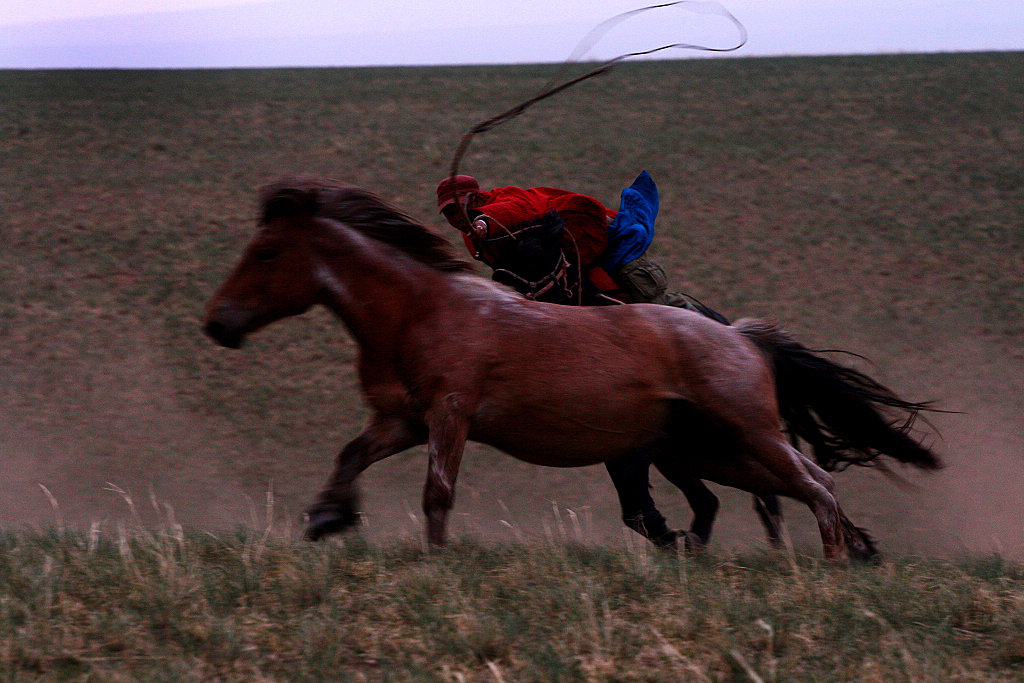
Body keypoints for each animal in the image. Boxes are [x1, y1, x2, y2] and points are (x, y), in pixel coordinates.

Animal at [203, 179, 937, 565]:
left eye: (266, 252)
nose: (217, 323)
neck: (420, 309)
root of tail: (739, 334)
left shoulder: (450, 416)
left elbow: (436, 493)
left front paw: (435, 562)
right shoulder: (404, 419)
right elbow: (351, 453)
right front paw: (327, 517)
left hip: (746, 435)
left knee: (811, 484)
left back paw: (832, 562)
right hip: (709, 450)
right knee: (787, 488)